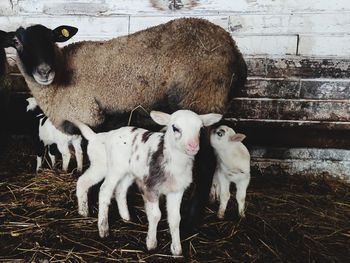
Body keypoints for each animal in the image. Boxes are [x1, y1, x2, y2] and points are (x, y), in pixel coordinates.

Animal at [0, 17, 247, 230]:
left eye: (52, 39)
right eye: (16, 42)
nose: (44, 72)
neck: (60, 79)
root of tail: (234, 49)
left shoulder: (93, 119)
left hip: (201, 101)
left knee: (206, 164)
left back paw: (191, 219)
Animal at [74, 109, 221, 256]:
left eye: (200, 128)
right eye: (175, 128)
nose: (193, 146)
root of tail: (100, 136)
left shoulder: (176, 190)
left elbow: (175, 219)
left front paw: (177, 250)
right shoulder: (150, 187)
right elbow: (156, 215)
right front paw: (151, 243)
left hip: (125, 171)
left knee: (117, 189)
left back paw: (119, 216)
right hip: (113, 167)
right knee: (102, 190)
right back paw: (102, 228)